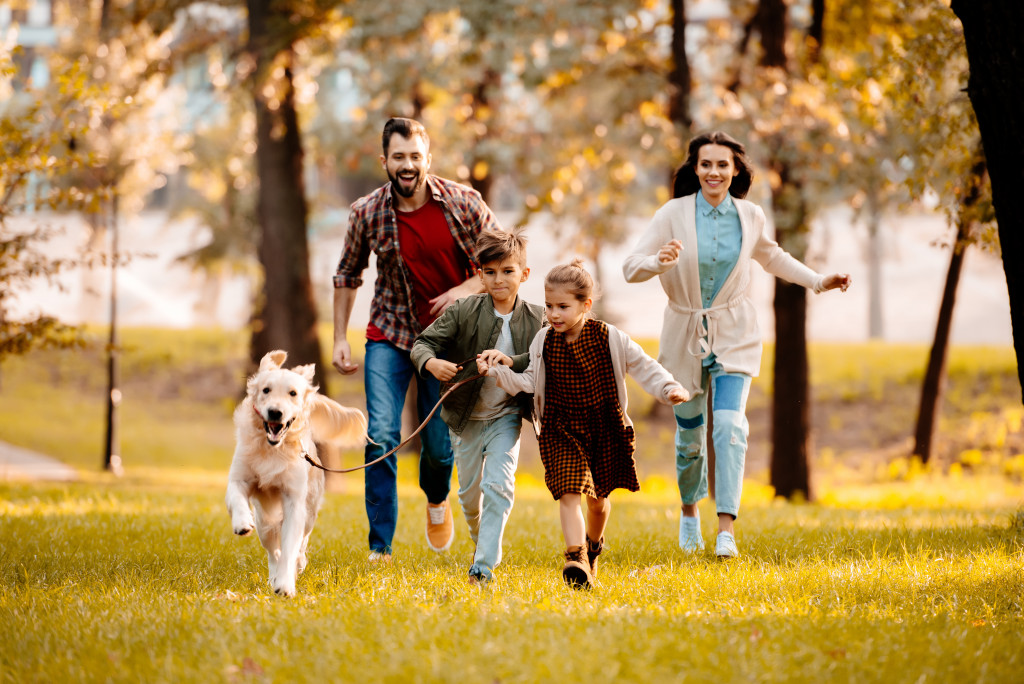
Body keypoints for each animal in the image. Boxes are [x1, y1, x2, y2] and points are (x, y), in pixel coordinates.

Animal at [228, 350, 368, 593]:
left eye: (292, 393)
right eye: (266, 390)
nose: (275, 412)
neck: (273, 449)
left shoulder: (294, 501)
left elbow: (291, 547)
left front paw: (285, 584)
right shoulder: (239, 477)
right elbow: (237, 496)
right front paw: (242, 522)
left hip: (310, 510)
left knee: (301, 541)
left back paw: (297, 564)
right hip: (264, 521)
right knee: (272, 550)